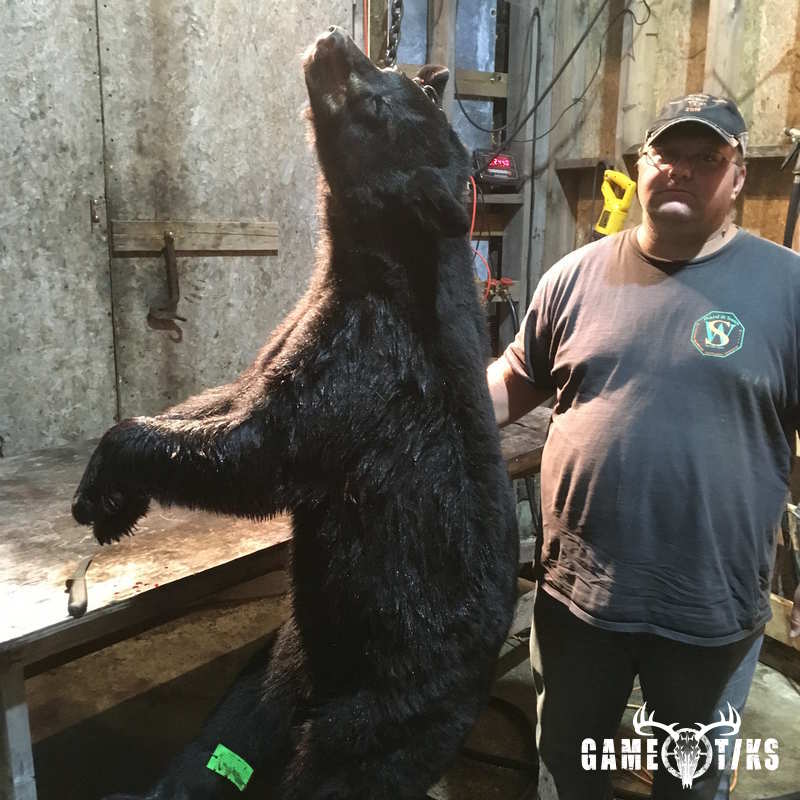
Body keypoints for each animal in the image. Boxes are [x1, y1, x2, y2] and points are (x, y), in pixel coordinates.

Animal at [72, 25, 519, 800]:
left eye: (383, 100)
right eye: (391, 64)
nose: (336, 39)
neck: (370, 257)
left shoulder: (365, 368)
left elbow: (258, 450)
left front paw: (106, 488)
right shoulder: (299, 328)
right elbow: (231, 396)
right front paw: (116, 489)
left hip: (389, 700)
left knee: (336, 767)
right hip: (291, 653)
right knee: (240, 725)